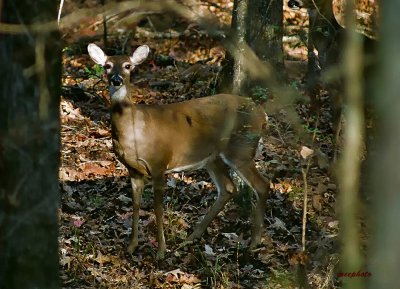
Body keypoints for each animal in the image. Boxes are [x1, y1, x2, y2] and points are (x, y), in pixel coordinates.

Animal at [86, 42, 268, 258]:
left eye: (128, 66)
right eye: (107, 65)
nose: (116, 80)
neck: (134, 131)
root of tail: (262, 113)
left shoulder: (159, 163)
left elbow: (157, 208)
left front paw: (161, 252)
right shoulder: (133, 170)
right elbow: (136, 205)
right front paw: (131, 246)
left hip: (241, 148)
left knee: (262, 185)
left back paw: (253, 244)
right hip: (214, 158)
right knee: (228, 188)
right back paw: (192, 237)